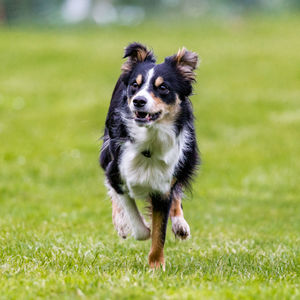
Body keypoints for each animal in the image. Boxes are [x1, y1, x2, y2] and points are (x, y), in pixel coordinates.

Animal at [99, 42, 200, 270]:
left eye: (163, 88)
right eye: (135, 85)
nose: (138, 101)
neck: (150, 137)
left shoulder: (163, 185)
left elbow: (159, 233)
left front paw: (156, 266)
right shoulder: (116, 171)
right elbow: (137, 222)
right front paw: (136, 227)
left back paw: (180, 224)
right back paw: (121, 224)